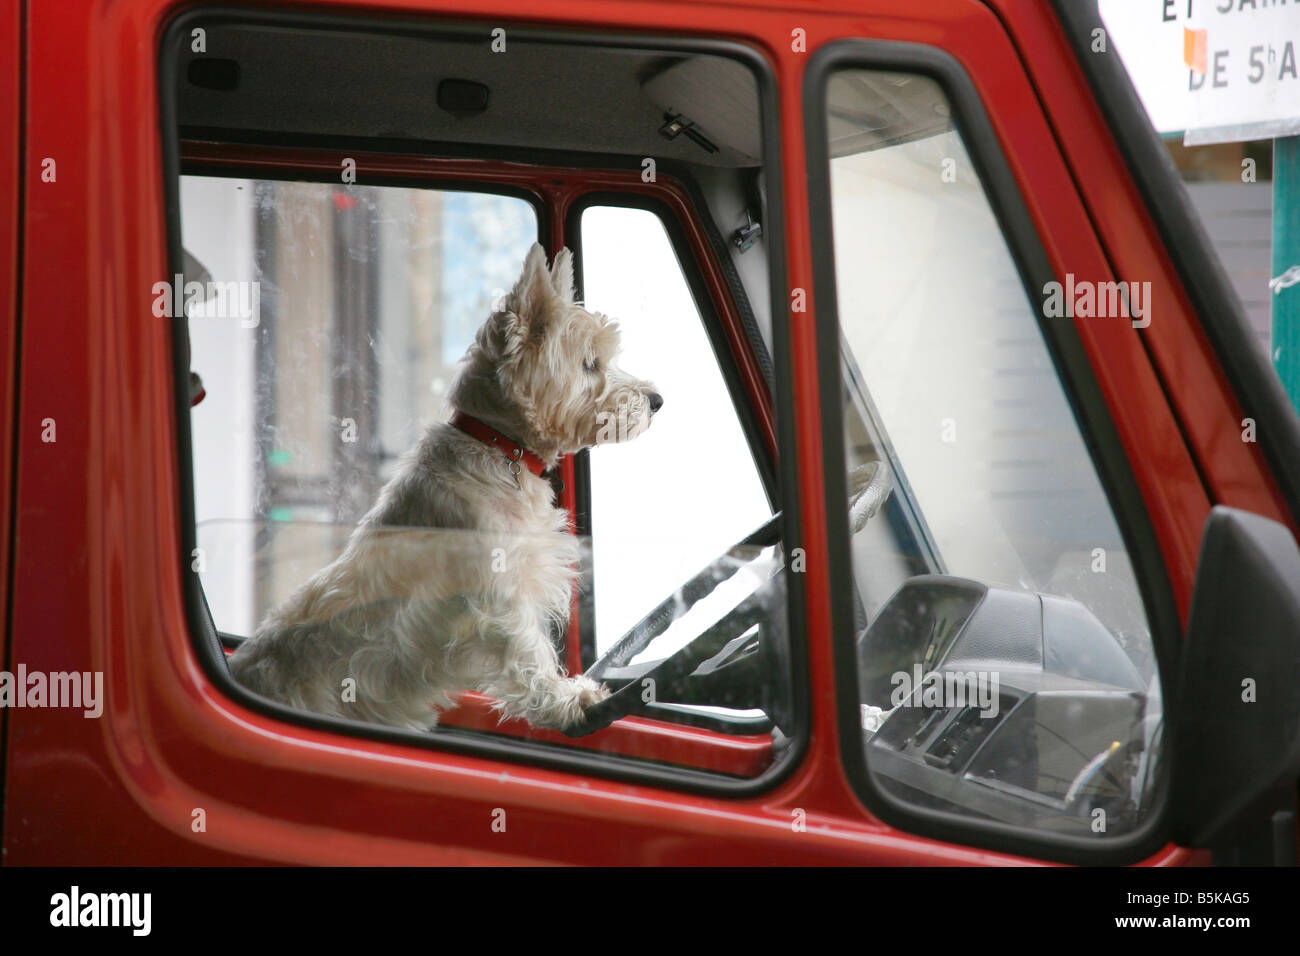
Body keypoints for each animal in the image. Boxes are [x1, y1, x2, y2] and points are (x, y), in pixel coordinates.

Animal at [224, 244, 665, 733]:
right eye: (590, 364)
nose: (656, 401)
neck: (499, 445)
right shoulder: (498, 596)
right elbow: (529, 651)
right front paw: (568, 699)